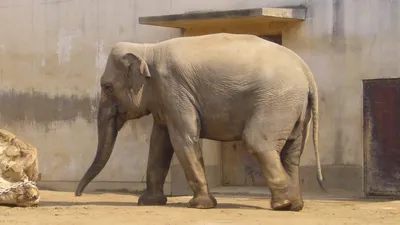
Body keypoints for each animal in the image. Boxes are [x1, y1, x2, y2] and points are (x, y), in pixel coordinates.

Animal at [75, 32, 324, 212]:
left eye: (107, 87)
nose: (77, 195)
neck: (148, 49)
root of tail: (307, 71)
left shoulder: (174, 89)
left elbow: (182, 138)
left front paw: (201, 205)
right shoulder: (165, 98)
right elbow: (159, 143)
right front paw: (148, 202)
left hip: (276, 102)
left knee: (257, 142)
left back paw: (282, 205)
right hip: (295, 109)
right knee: (291, 153)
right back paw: (294, 205)